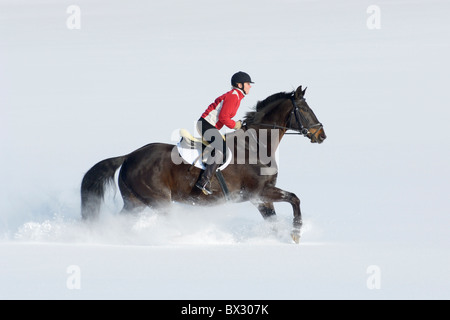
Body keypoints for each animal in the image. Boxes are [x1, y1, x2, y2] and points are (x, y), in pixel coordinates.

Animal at [81, 85, 326, 242]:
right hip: (159, 201)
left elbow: (274, 221)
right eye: (305, 109)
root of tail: (130, 156)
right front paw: (296, 233)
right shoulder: (258, 192)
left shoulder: (261, 198)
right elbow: (294, 198)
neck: (255, 145)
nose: (321, 135)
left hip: (134, 202)